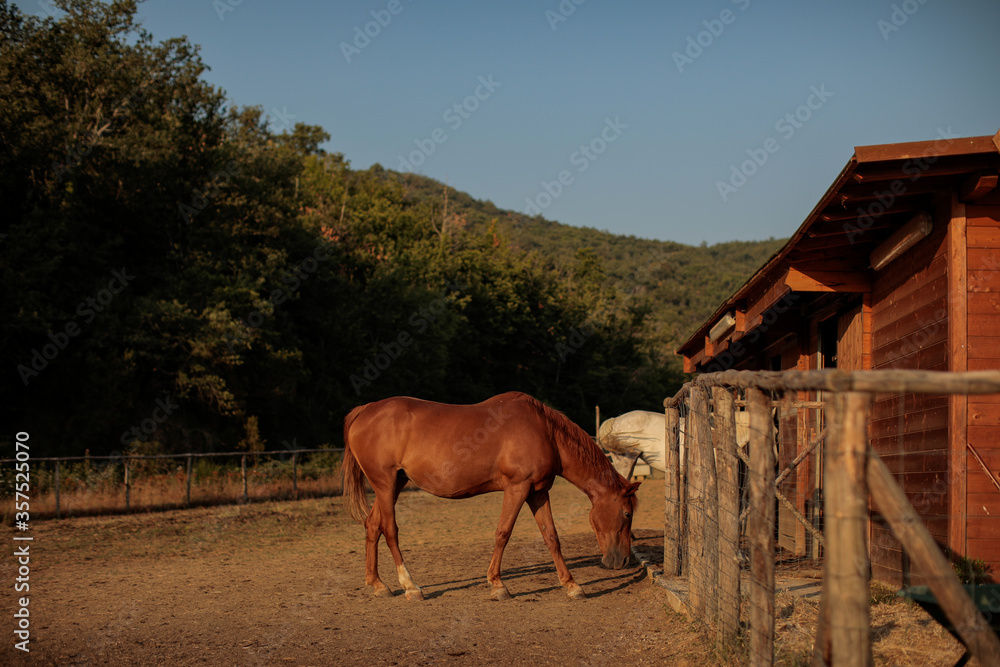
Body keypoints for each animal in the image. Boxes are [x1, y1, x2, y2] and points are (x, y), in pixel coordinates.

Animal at [342, 391, 640, 601]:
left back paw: (378, 584)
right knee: (389, 529)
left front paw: (572, 585)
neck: (545, 432)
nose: (623, 561)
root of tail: (365, 411)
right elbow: (503, 533)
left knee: (372, 525)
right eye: (627, 513)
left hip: (394, 485)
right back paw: (410, 587)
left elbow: (551, 537)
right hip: (385, 484)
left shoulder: (538, 493)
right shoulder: (517, 488)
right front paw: (497, 585)